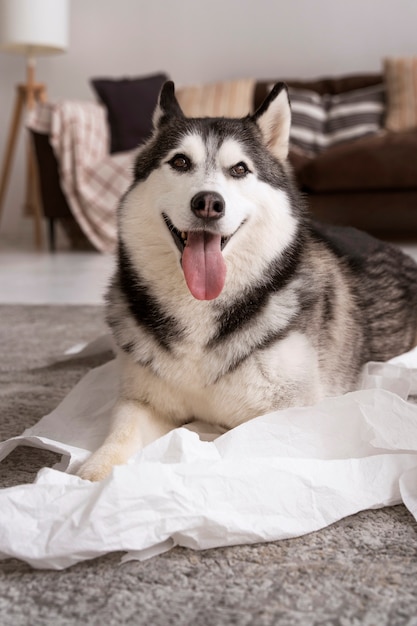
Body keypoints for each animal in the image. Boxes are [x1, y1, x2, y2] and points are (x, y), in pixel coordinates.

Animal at [78, 80, 416, 480]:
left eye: (239, 169)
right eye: (180, 162)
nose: (208, 203)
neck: (201, 308)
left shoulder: (287, 415)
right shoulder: (143, 399)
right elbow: (122, 431)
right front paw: (92, 472)